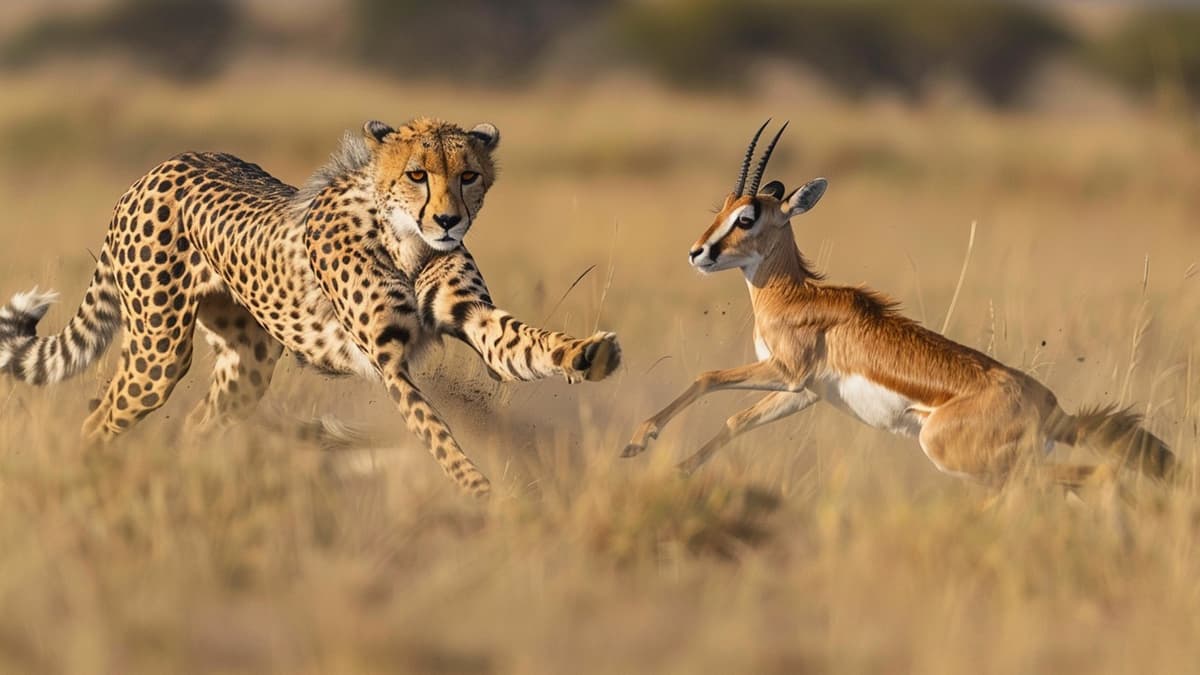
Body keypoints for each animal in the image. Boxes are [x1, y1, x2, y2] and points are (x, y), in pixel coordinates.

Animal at [0, 117, 619, 494]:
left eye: (469, 175)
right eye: (417, 175)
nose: (448, 220)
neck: (407, 240)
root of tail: (160, 166)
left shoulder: (473, 317)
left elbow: (525, 344)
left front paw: (588, 355)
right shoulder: (389, 366)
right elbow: (436, 434)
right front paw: (481, 490)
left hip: (246, 365)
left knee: (197, 423)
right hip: (159, 353)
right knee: (102, 414)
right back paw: (86, 480)